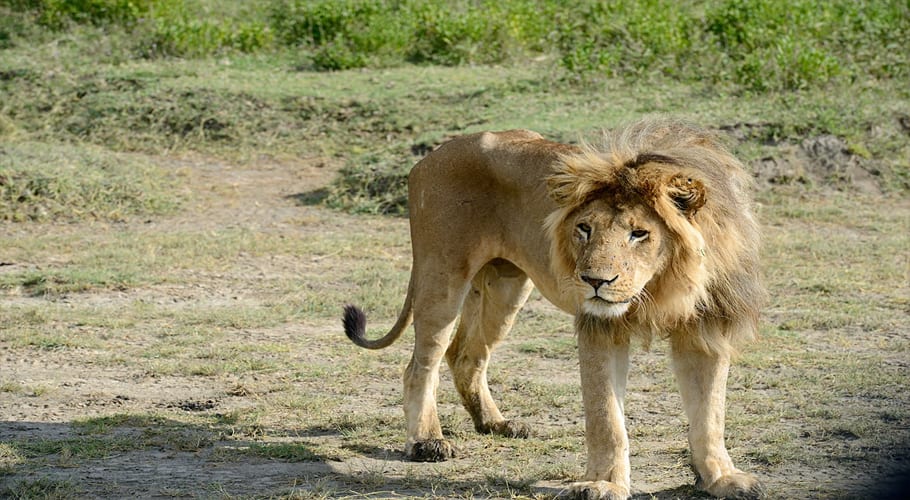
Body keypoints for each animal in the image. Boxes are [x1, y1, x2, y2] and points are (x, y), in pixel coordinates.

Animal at [342, 119, 766, 499]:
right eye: (584, 228)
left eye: (639, 233)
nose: (594, 281)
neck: (665, 285)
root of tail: (430, 156)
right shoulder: (600, 327)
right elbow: (606, 418)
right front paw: (603, 485)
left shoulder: (705, 329)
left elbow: (710, 415)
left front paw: (721, 478)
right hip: (442, 275)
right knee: (420, 365)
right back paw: (427, 442)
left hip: (505, 286)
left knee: (465, 355)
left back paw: (495, 423)